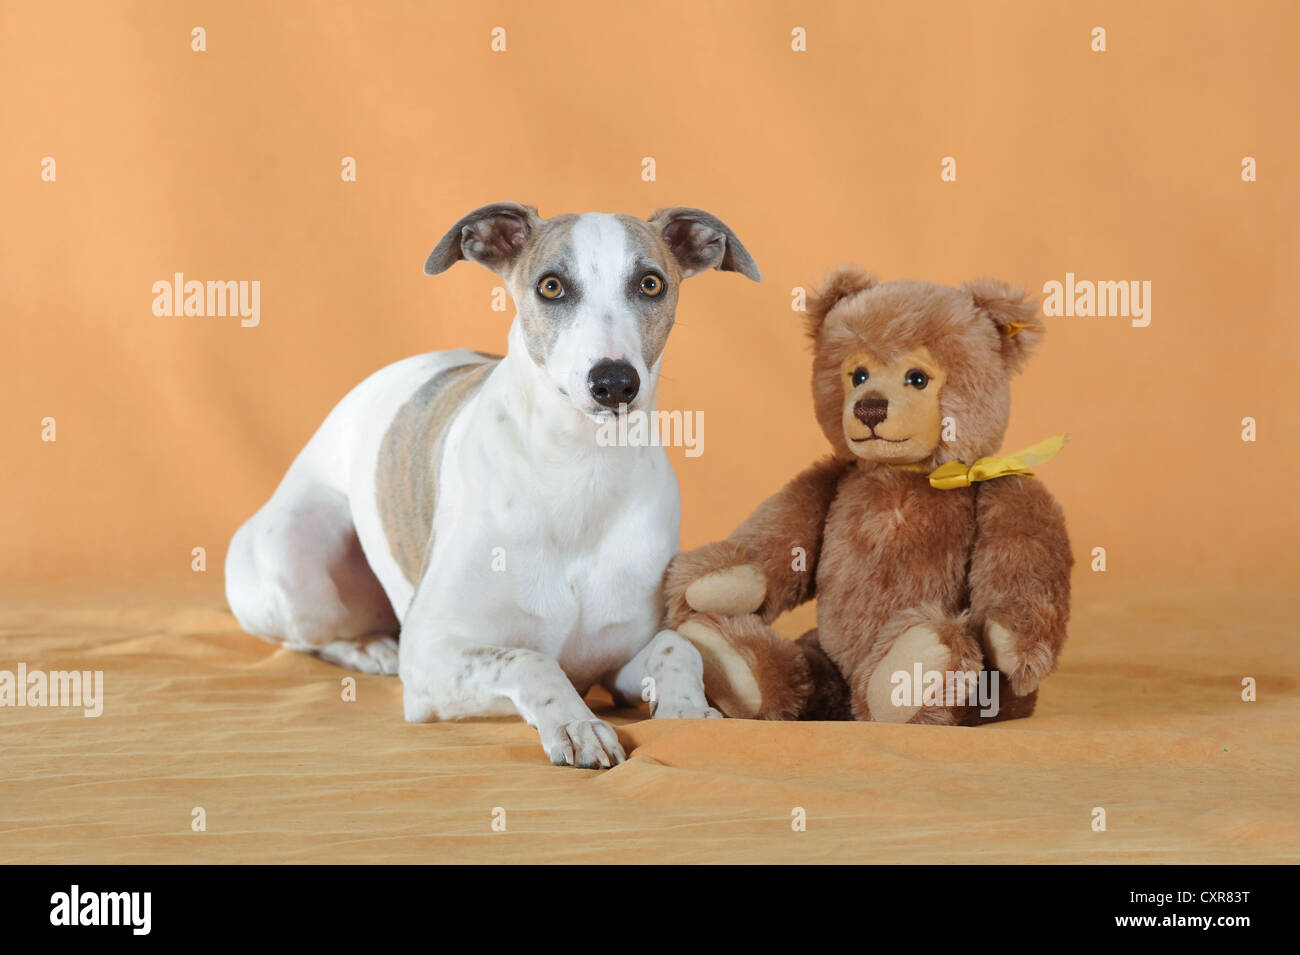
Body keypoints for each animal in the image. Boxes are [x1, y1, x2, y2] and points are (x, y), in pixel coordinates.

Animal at [224, 201, 759, 769]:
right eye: (551, 286)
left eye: (651, 283)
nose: (614, 382)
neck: (578, 473)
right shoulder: (432, 656)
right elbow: (530, 659)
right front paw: (577, 724)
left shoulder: (612, 660)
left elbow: (677, 645)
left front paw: (689, 709)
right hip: (298, 555)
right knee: (307, 638)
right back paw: (369, 647)